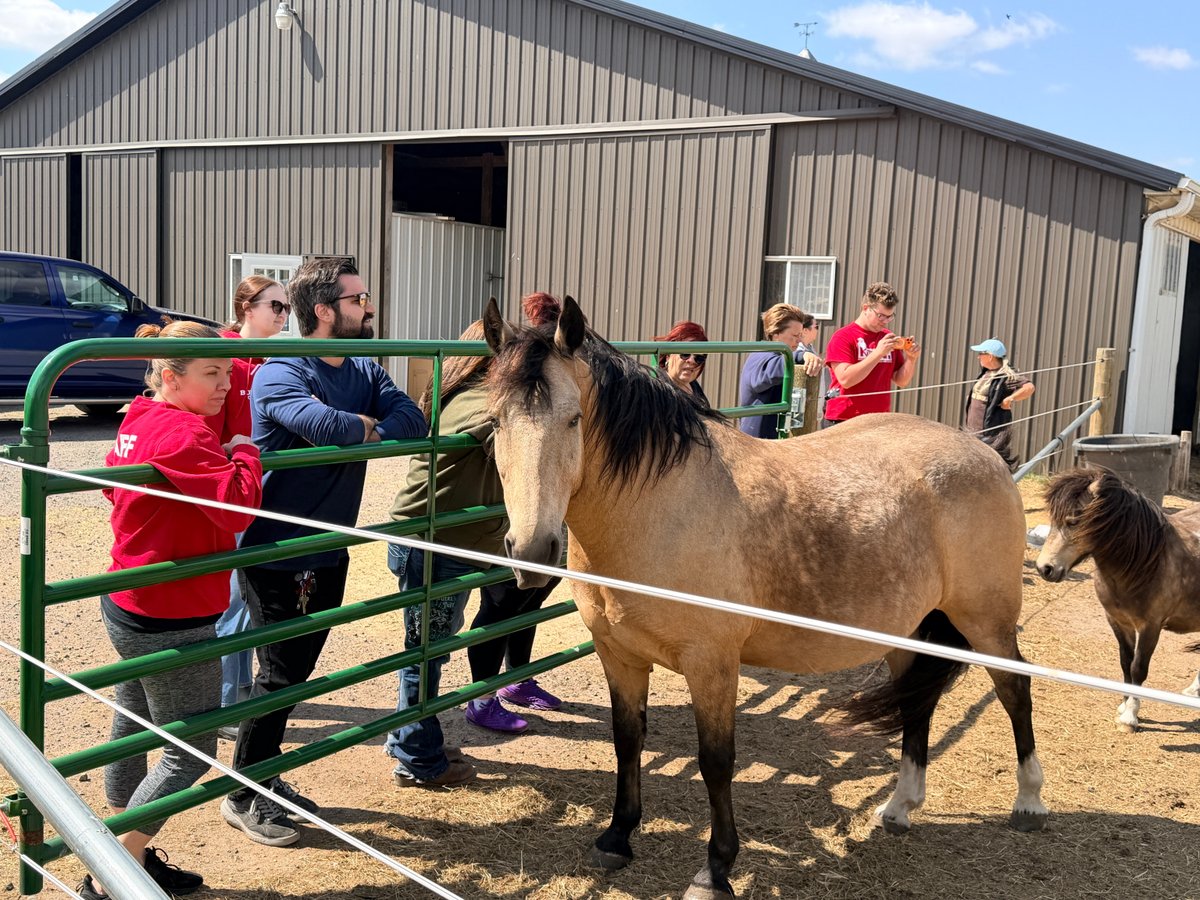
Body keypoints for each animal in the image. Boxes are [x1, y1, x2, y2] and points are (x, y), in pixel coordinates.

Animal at [482, 297, 1047, 900]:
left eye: (574, 419)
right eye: (495, 423)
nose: (533, 548)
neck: (658, 506)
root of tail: (983, 453)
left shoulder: (712, 664)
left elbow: (716, 761)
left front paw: (716, 870)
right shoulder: (621, 656)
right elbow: (627, 742)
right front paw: (617, 837)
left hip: (986, 621)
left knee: (1015, 690)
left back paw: (1029, 802)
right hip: (908, 630)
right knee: (917, 700)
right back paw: (899, 807)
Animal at [1036, 467, 1200, 732]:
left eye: (1074, 521)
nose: (1045, 568)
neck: (1146, 563)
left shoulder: (1150, 627)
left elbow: (1138, 668)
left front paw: (1130, 717)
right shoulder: (1118, 621)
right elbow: (1125, 663)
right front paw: (1124, 706)